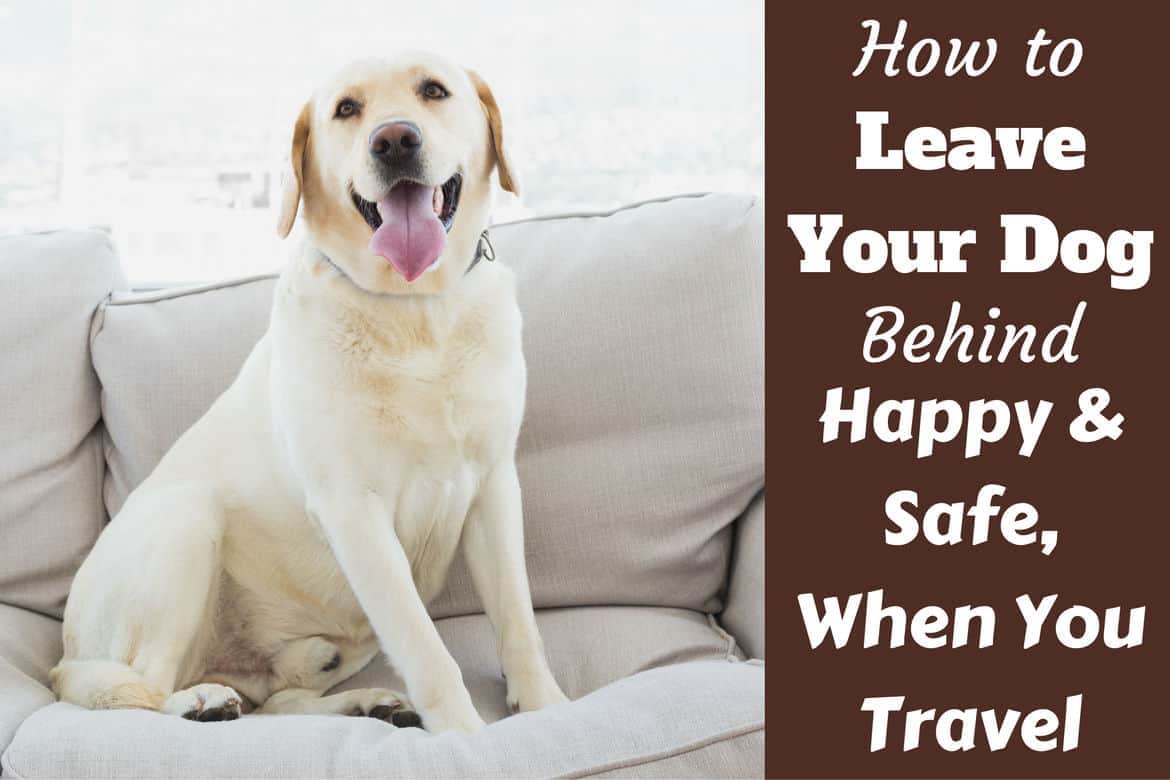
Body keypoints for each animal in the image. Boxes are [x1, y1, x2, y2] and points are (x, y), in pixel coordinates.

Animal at [47, 51, 568, 734]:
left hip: (332, 642)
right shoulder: (353, 511)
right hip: (187, 519)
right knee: (146, 690)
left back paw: (366, 702)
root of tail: (61, 656)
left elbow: (518, 620)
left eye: (433, 91)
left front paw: (545, 708)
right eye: (347, 109)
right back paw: (201, 701)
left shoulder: (493, 487)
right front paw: (463, 734)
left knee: (279, 703)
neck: (415, 311)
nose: (394, 140)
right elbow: (427, 648)